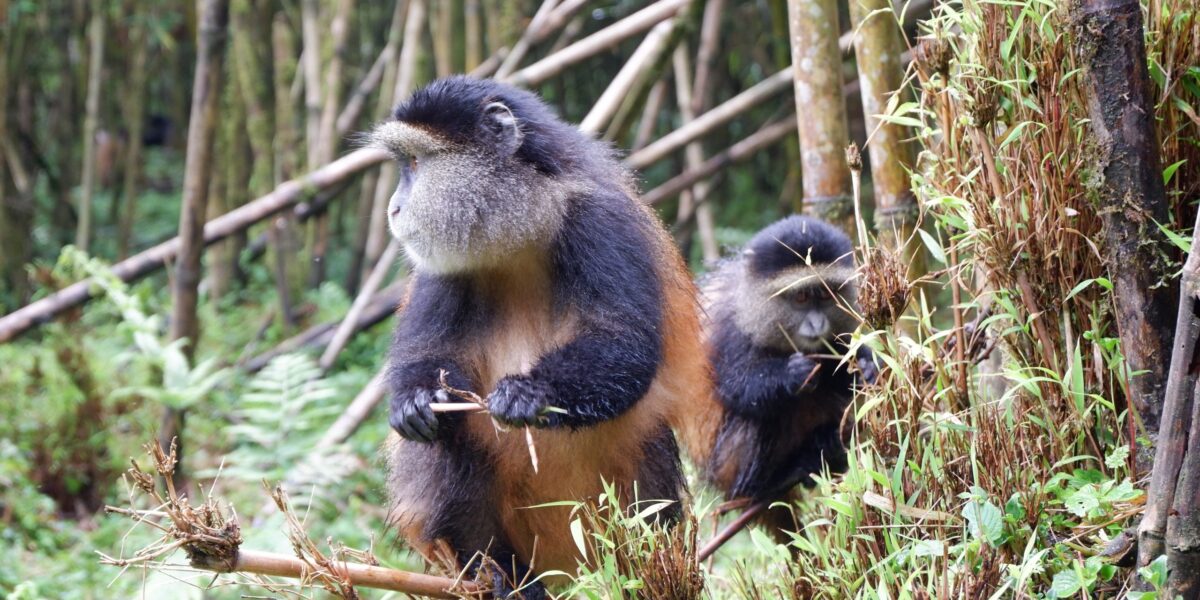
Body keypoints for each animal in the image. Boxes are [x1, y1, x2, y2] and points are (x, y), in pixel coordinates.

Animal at [371, 76, 711, 598]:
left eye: (414, 163)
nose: (394, 207)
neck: (524, 225)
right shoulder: (439, 266)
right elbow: (427, 356)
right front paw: (414, 401)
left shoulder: (600, 221)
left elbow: (625, 343)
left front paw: (529, 392)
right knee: (449, 439)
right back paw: (499, 574)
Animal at [673, 215, 877, 538]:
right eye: (801, 296)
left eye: (825, 293)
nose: (817, 323)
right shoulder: (731, 330)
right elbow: (736, 388)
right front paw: (792, 375)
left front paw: (866, 366)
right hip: (728, 464)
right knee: (764, 415)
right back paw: (769, 482)